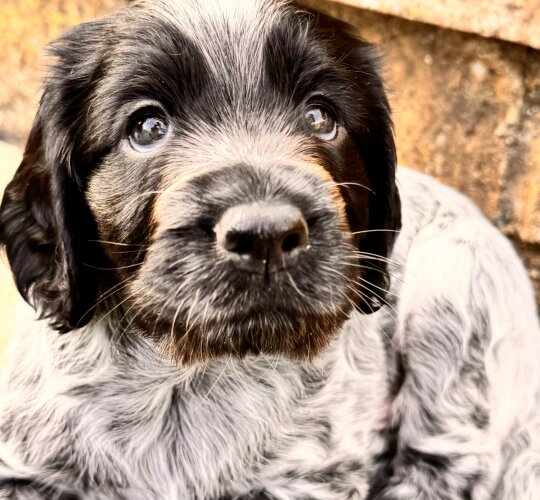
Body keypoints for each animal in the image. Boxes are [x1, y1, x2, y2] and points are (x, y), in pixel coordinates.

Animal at [1, 0, 540, 500]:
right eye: (147, 127)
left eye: (321, 117)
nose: (266, 236)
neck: (188, 377)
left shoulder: (308, 477)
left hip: (453, 278)